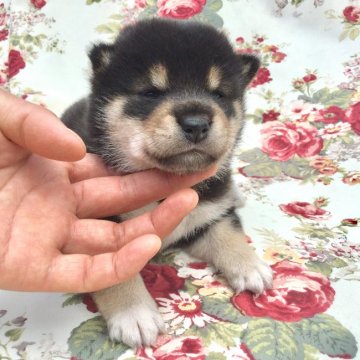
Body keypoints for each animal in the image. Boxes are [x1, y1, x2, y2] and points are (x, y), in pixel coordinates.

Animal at [62, 19, 272, 348]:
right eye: (150, 92)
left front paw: (249, 265)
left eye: (219, 94)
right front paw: (134, 314)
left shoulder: (208, 212)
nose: (197, 123)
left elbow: (227, 232)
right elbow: (116, 272)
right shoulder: (98, 232)